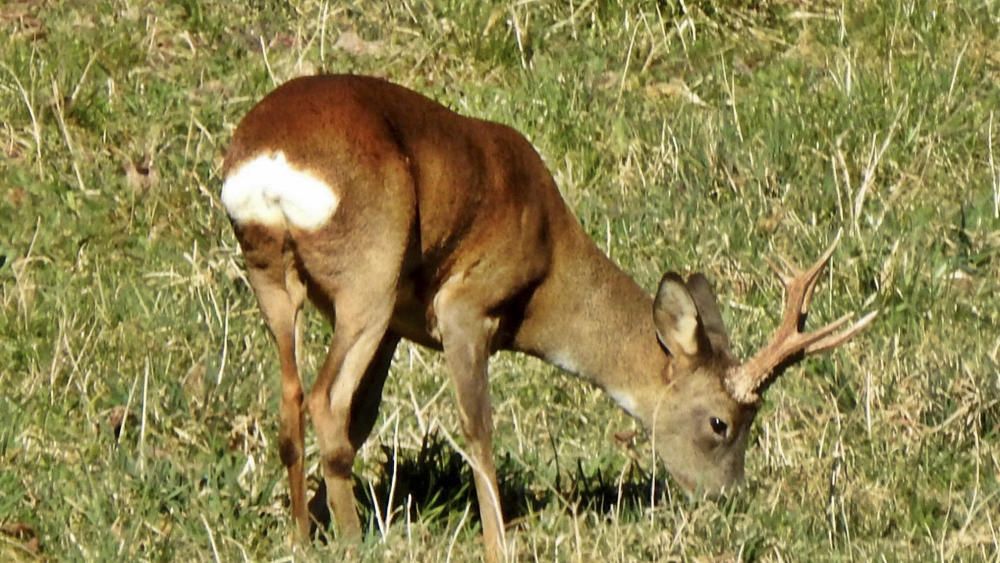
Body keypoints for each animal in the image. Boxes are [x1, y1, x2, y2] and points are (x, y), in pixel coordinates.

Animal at [221, 74, 876, 560]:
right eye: (721, 422)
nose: (728, 497)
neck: (550, 266)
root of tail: (267, 164)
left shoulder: (402, 324)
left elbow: (366, 418)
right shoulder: (464, 305)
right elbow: (477, 429)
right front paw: (498, 543)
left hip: (275, 278)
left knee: (293, 402)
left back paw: (302, 534)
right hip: (370, 269)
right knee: (324, 400)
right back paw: (354, 543)